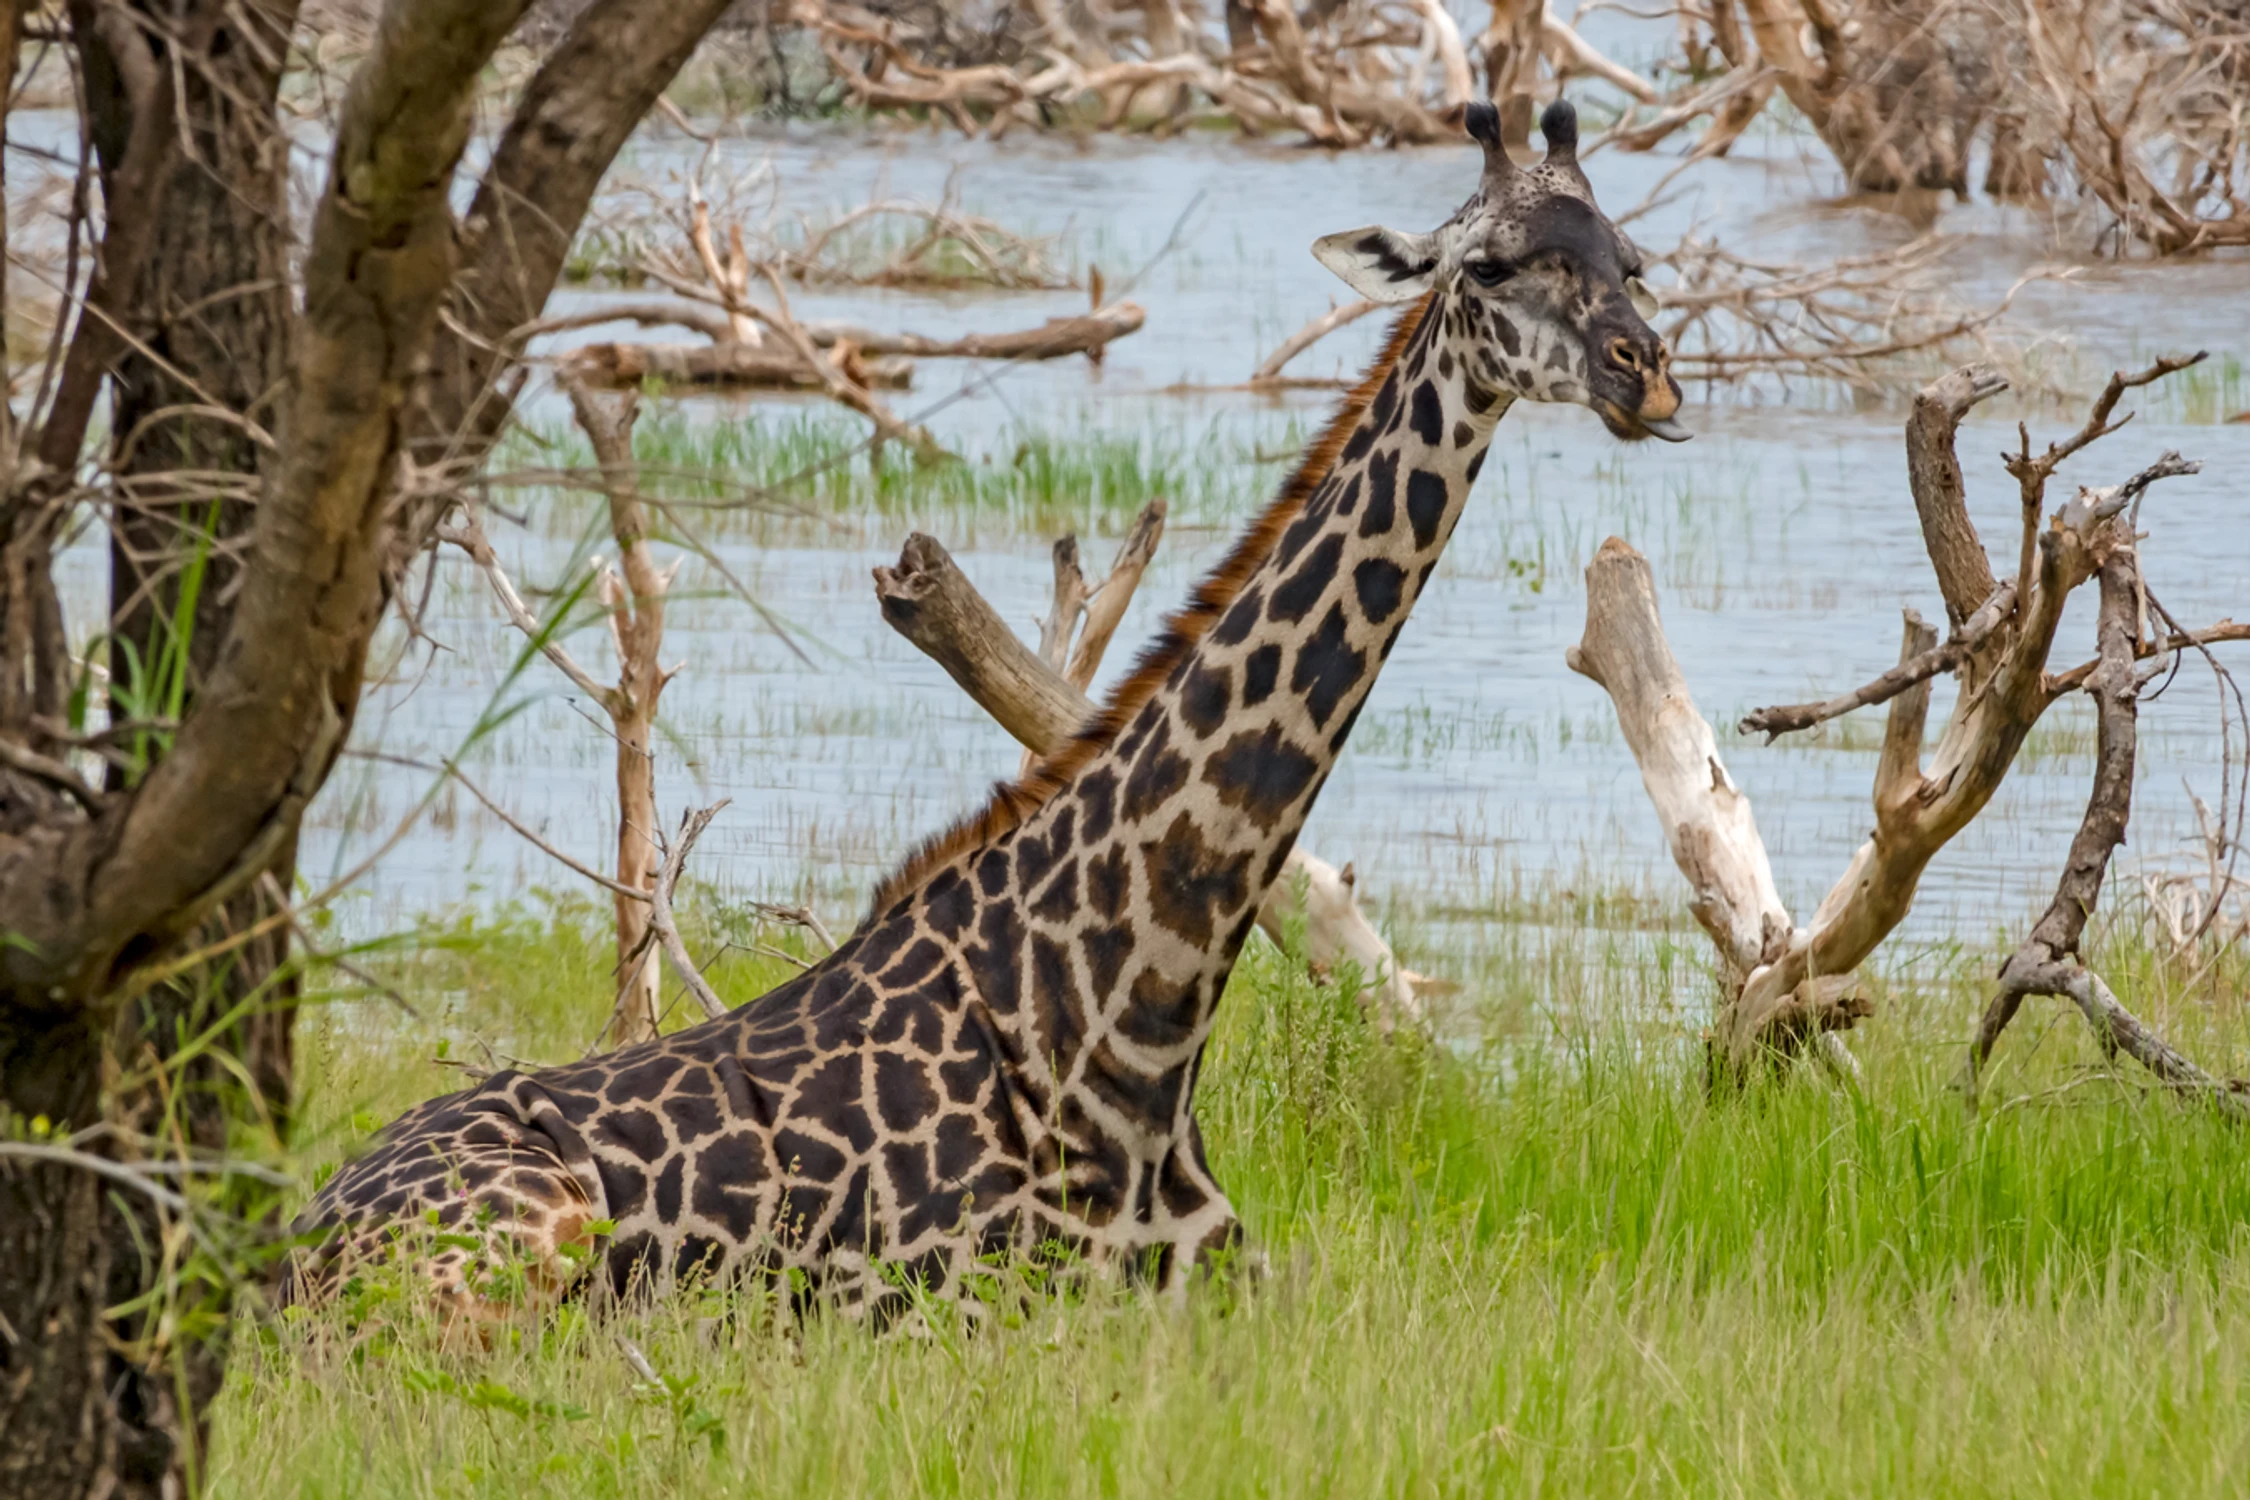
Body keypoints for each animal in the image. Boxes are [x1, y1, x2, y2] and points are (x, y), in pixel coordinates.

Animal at [281, 99, 1683, 1322]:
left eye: (1633, 262)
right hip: (507, 1264)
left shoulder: (1236, 1297)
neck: (1142, 1008)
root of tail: (294, 1245)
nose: (1646, 374)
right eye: (1491, 264)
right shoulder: (954, 1309)